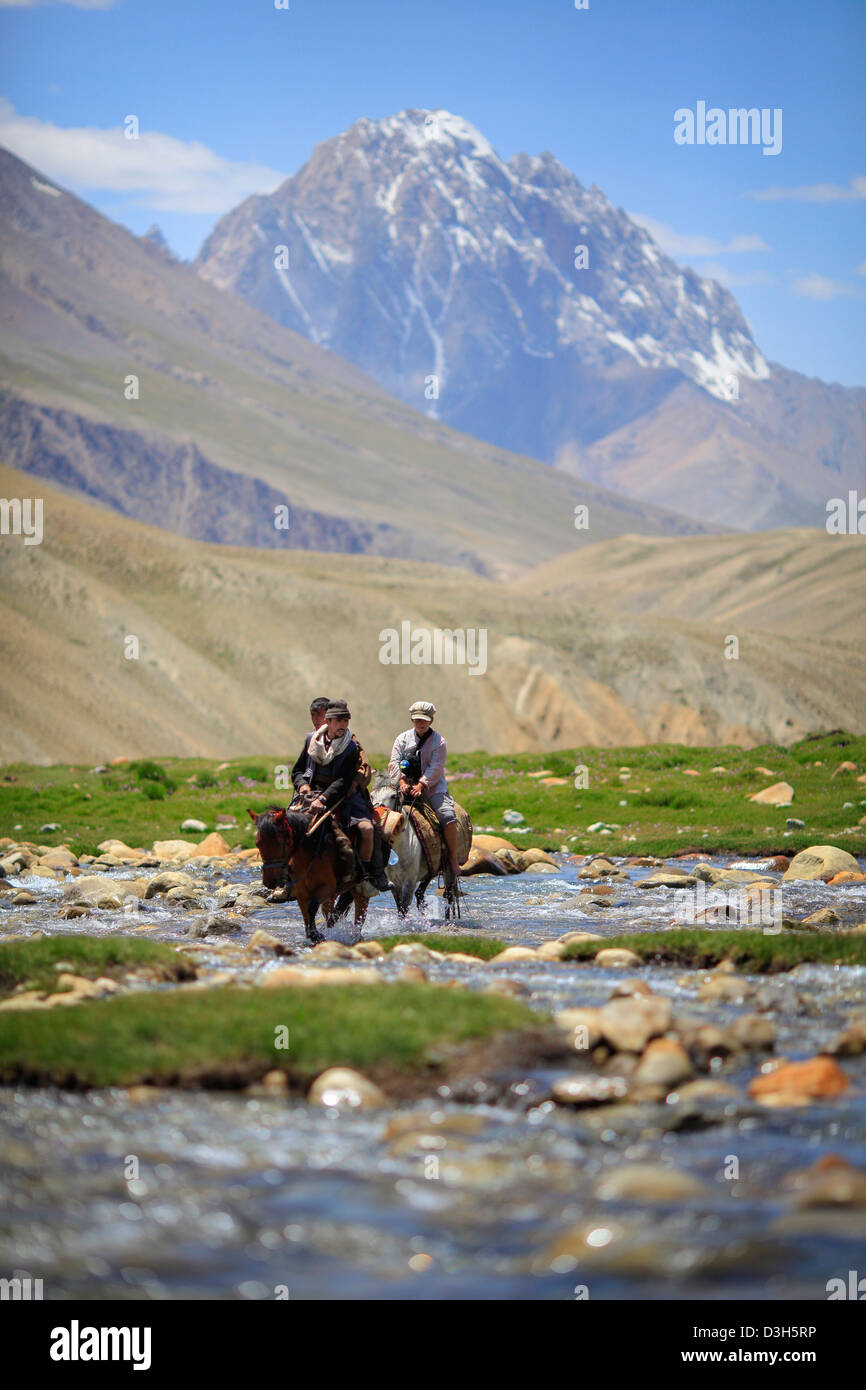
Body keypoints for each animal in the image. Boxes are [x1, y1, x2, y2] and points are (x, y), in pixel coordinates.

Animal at [252, 806, 369, 945]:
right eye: (257, 843)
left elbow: (312, 906)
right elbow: (306, 915)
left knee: (359, 914)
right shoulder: (301, 892)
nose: (269, 881)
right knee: (332, 912)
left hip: (360, 889)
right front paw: (313, 934)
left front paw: (317, 935)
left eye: (278, 843)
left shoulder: (328, 887)